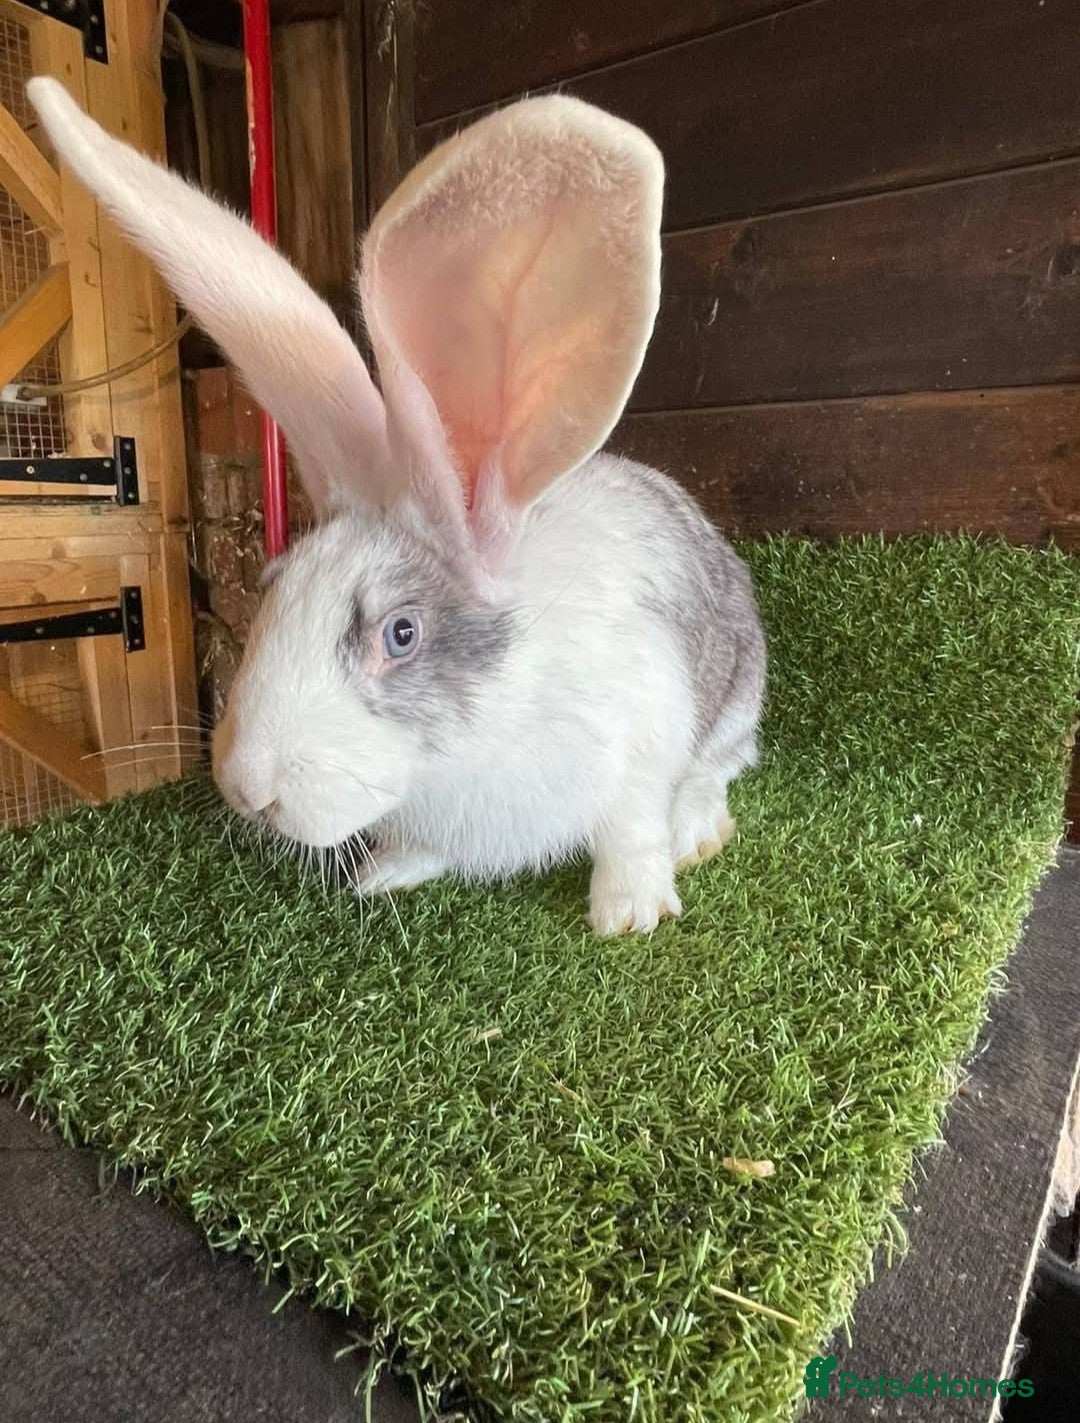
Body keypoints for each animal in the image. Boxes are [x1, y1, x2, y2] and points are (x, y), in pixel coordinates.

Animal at [28, 78, 765, 935]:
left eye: (401, 633)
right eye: (271, 587)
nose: (247, 788)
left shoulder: (642, 742)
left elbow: (631, 831)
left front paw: (630, 914)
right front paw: (386, 873)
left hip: (735, 702)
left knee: (714, 773)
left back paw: (697, 833)